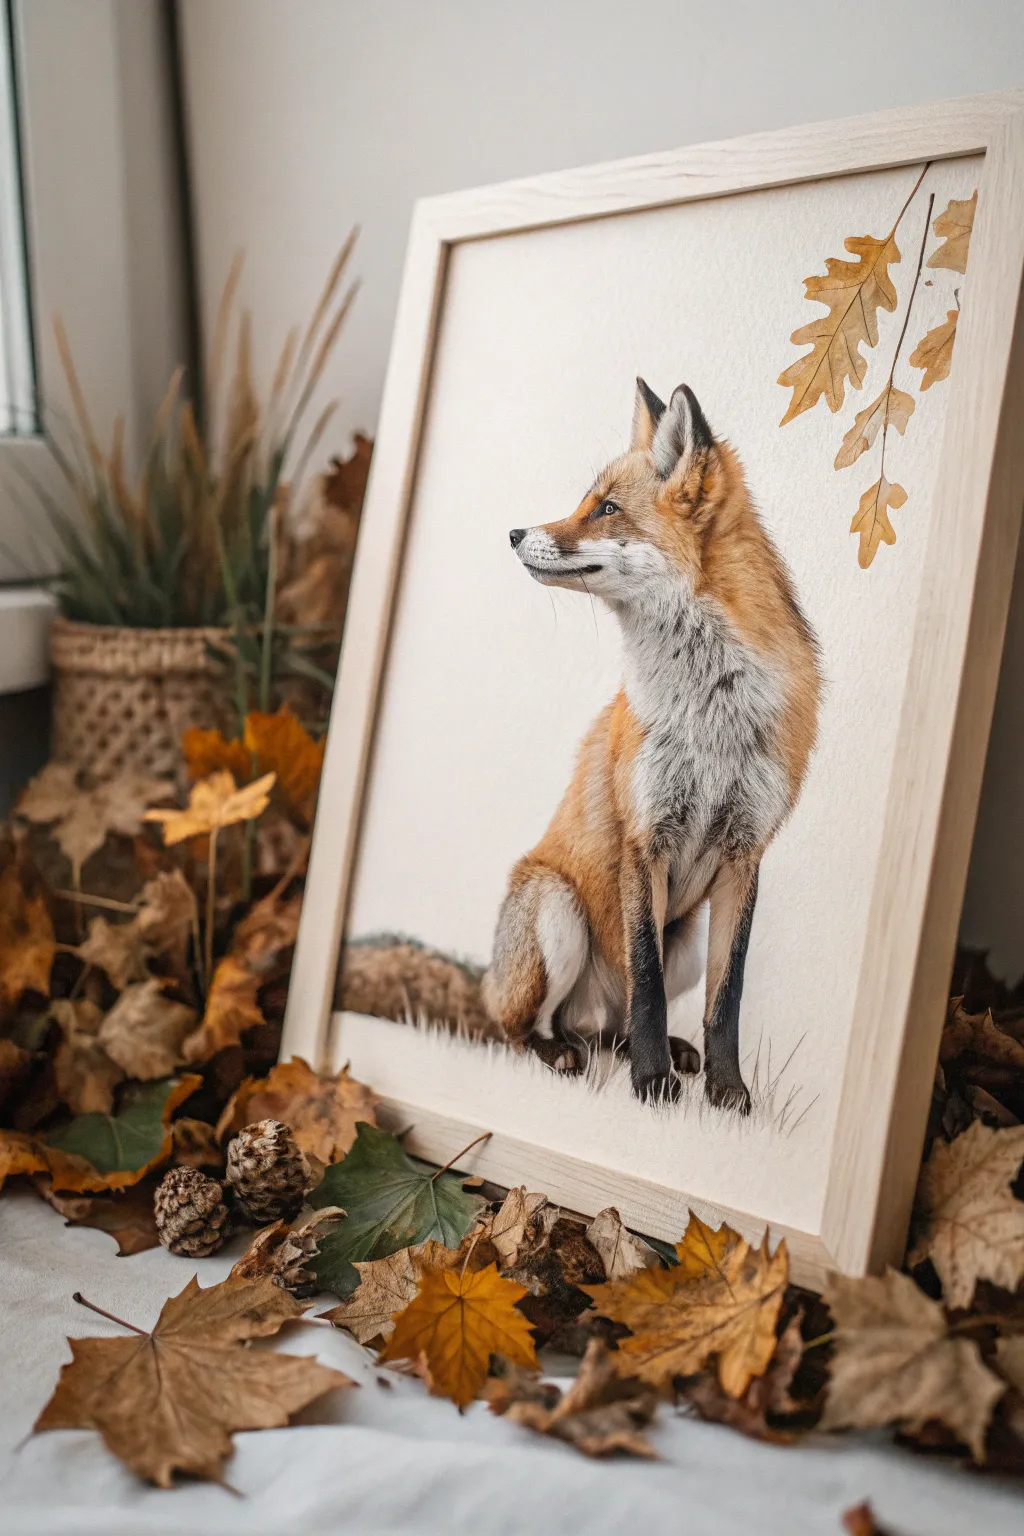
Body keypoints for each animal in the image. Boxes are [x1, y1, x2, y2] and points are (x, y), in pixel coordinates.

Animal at [482, 379, 821, 1112]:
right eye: (586, 501)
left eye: (607, 509)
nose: (516, 532)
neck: (709, 712)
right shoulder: (645, 839)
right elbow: (647, 984)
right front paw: (649, 1084)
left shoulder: (746, 852)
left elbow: (726, 998)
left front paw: (726, 1092)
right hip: (558, 914)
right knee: (524, 1028)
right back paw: (567, 1053)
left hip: (685, 939)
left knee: (613, 1021)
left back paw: (657, 1051)